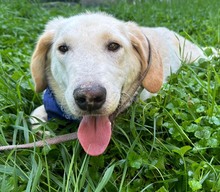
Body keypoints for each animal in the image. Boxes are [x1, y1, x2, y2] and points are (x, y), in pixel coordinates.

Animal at [28, 11, 205, 156]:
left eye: (113, 46)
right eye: (63, 48)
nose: (89, 98)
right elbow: (34, 116)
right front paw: (44, 133)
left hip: (196, 56)